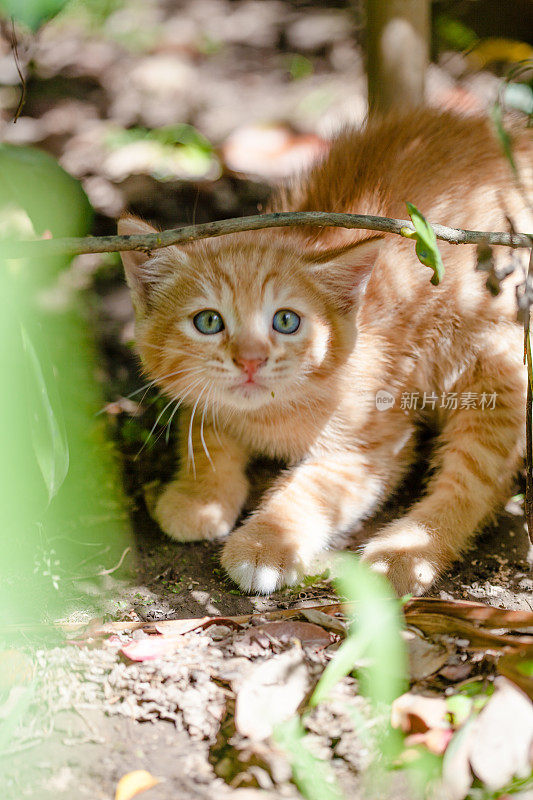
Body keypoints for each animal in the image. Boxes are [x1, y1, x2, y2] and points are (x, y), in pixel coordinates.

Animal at [118, 111, 528, 592]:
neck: (267, 416)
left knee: (479, 482)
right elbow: (203, 432)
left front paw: (265, 541)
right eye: (208, 322)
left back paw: (406, 554)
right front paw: (200, 497)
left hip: (495, 357)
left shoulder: (373, 447)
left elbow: (312, 488)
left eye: (286, 321)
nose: (251, 359)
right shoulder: (201, 399)